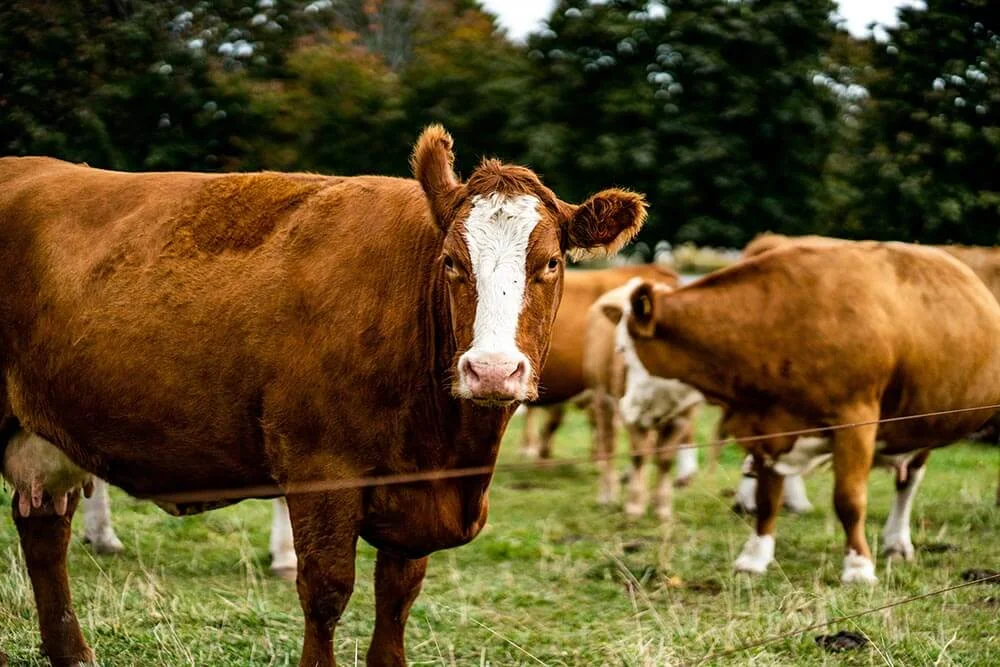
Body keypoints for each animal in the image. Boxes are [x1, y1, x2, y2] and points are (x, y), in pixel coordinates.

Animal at [0, 125, 646, 667]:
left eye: (552, 262)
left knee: (44, 533)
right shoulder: (321, 473)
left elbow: (397, 599)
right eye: (450, 262)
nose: (491, 371)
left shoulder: (413, 495)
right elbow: (327, 592)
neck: (448, 454)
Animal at [589, 279, 703, 518]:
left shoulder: (684, 415)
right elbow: (639, 455)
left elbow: (665, 459)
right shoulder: (629, 411)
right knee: (608, 444)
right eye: (623, 348)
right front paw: (634, 506)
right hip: (601, 397)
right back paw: (607, 495)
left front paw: (663, 508)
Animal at [604, 241, 1000, 584]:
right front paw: (755, 557)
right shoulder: (769, 427)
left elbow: (849, 499)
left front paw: (858, 567)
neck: (774, 324)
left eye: (623, 350)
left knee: (908, 482)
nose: (626, 410)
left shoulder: (856, 419)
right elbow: (767, 499)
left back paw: (896, 541)